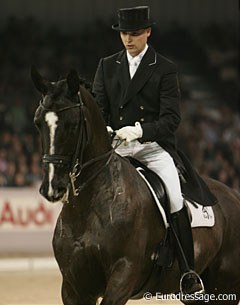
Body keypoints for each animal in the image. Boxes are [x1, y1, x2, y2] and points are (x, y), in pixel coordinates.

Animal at [31, 67, 240, 304]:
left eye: (73, 124)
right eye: (38, 122)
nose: (52, 187)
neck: (90, 205)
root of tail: (233, 195)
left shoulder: (123, 276)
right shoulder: (74, 288)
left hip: (224, 287)